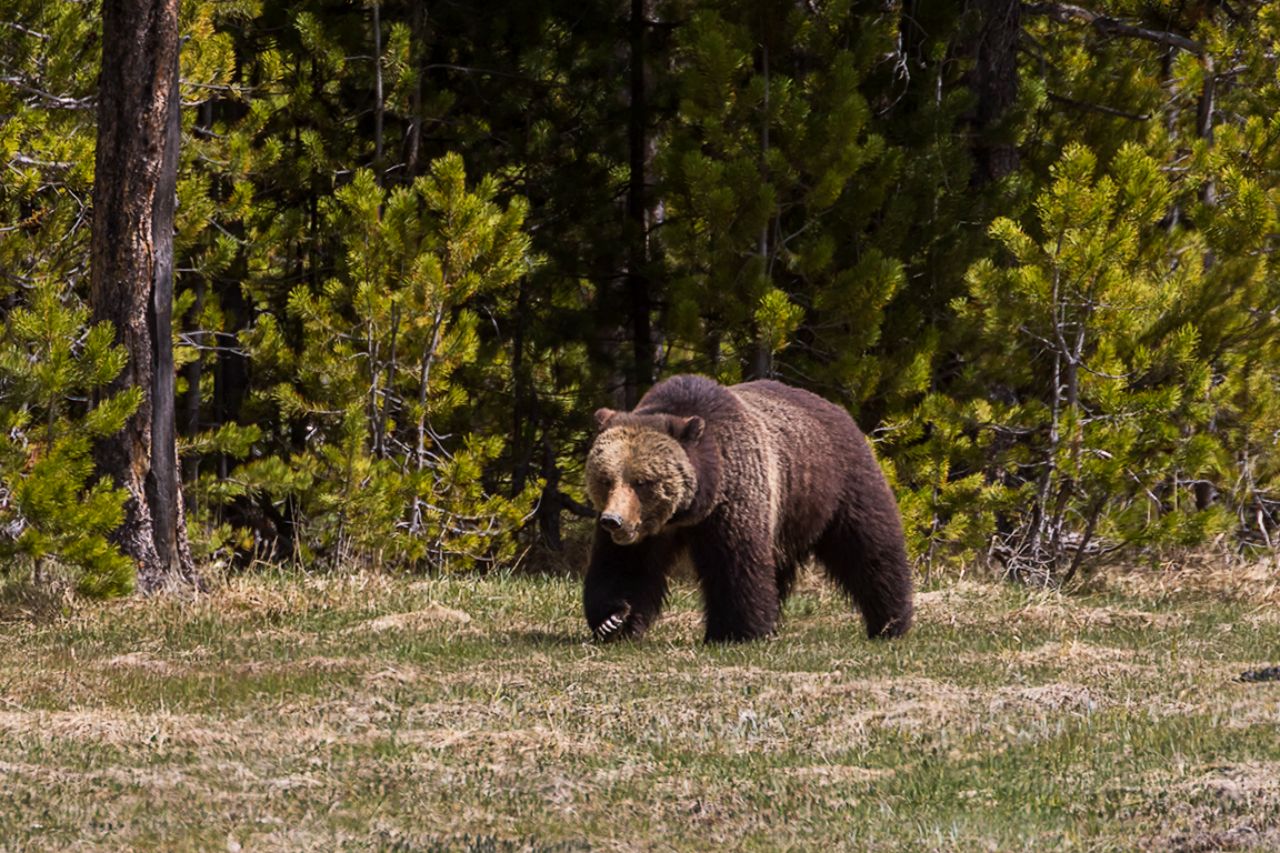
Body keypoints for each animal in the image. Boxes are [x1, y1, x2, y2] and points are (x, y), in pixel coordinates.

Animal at [583, 373, 914, 643]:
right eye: (606, 478)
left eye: (642, 481)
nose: (613, 521)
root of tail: (837, 408)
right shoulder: (648, 530)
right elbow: (624, 565)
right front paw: (613, 620)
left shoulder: (734, 496)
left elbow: (737, 563)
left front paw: (735, 631)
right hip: (788, 518)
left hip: (835, 485)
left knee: (870, 548)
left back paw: (891, 622)